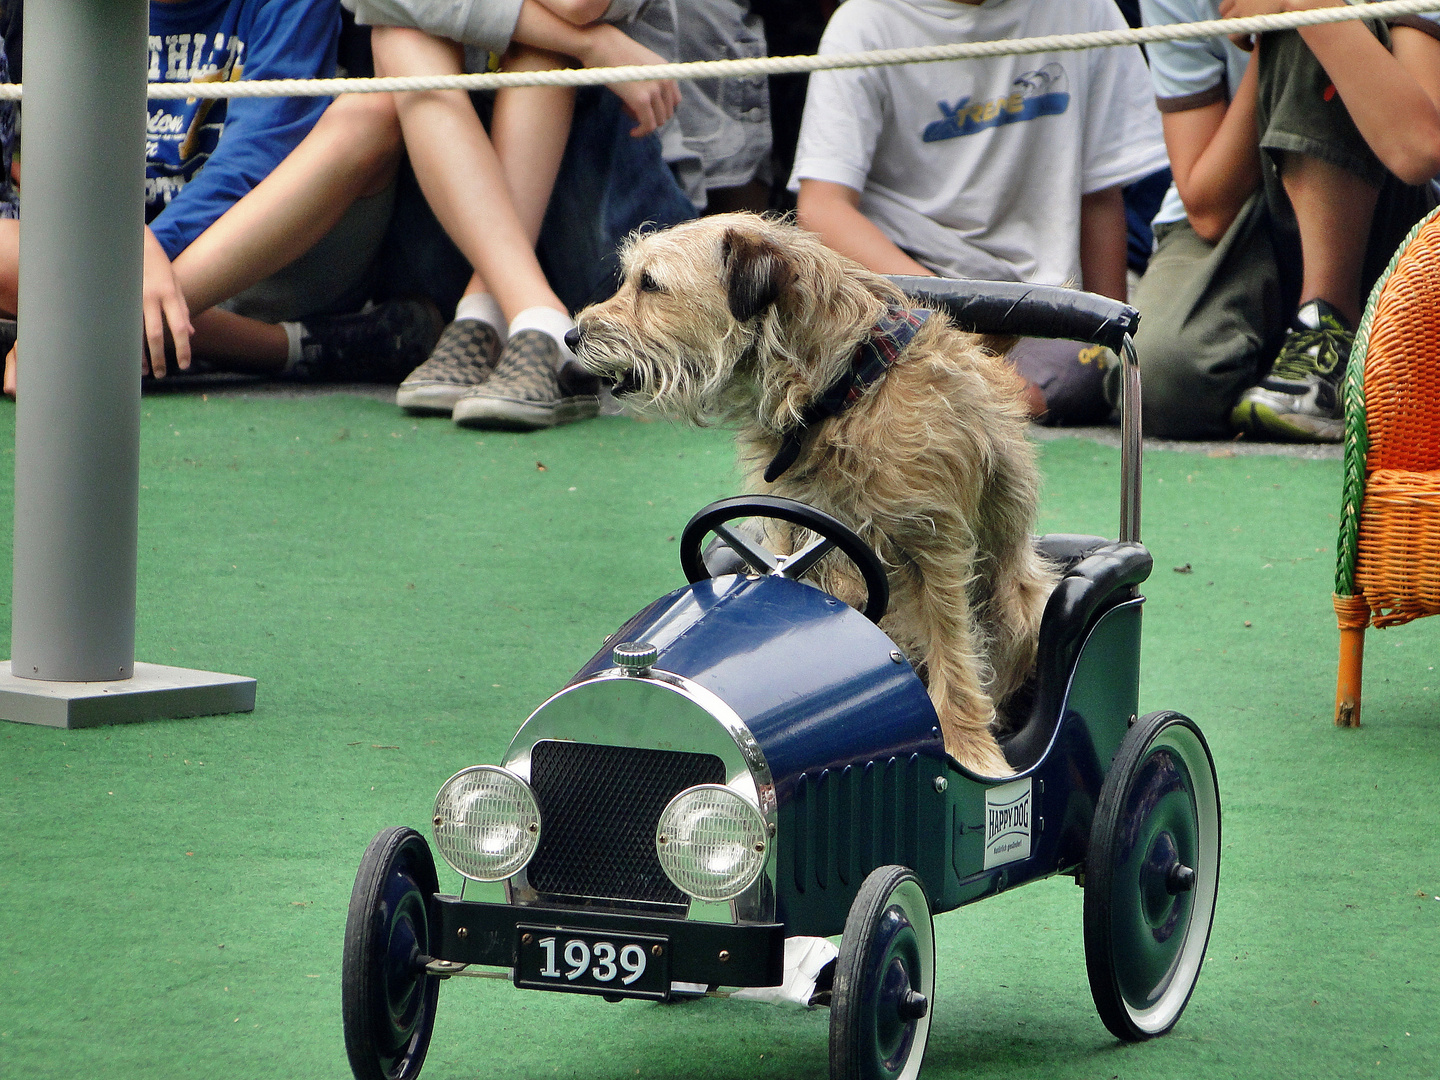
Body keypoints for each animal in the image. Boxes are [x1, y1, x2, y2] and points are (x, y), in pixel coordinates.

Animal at [570, 213, 1059, 777]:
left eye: (650, 284)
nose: (570, 335)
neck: (842, 393)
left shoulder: (938, 546)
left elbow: (953, 647)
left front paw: (969, 750)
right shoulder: (788, 529)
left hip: (1023, 609)